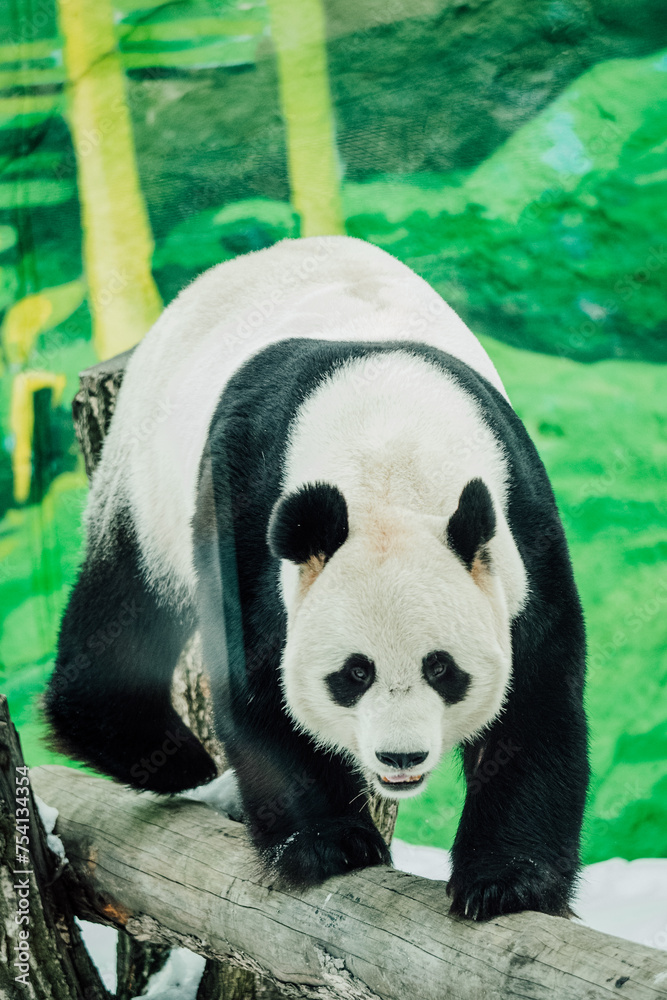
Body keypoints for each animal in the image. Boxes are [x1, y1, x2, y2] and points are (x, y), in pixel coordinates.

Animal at [45, 235, 589, 921]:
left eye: (443, 669)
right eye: (354, 674)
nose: (400, 757)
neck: (390, 450)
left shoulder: (518, 521)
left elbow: (536, 693)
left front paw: (508, 881)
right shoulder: (246, 501)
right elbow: (255, 680)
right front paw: (330, 845)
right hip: (147, 470)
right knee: (125, 607)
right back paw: (165, 756)